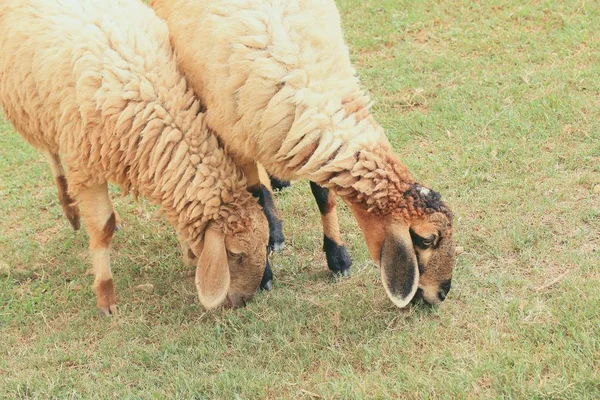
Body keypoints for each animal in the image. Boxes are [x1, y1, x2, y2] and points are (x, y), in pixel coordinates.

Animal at [0, 0, 268, 314]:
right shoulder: (85, 165)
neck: (150, 92)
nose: (245, 299)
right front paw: (106, 296)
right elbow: (102, 229)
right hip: (33, 107)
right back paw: (69, 208)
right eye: (235, 254)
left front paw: (189, 253)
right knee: (50, 151)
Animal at [152, 0, 458, 306]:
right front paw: (264, 271)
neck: (303, 78)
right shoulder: (235, 134)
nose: (443, 293)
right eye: (427, 240)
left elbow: (324, 197)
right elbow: (255, 197)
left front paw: (338, 256)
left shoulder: (302, 139)